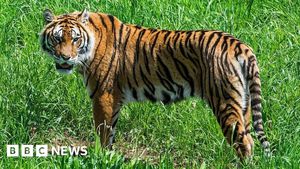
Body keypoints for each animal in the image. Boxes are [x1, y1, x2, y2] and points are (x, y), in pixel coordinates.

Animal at [38, 8, 270, 158]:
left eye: (75, 39)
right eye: (58, 38)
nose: (65, 58)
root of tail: (239, 45)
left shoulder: (103, 95)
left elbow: (103, 133)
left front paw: (99, 158)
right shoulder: (114, 100)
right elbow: (110, 132)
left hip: (224, 101)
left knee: (244, 142)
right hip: (243, 103)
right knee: (248, 138)